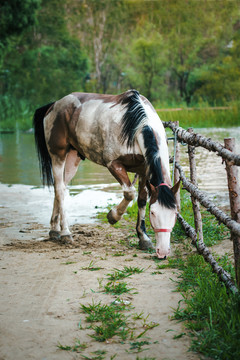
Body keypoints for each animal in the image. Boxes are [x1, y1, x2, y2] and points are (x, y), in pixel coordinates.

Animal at [33, 90, 180, 258]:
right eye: (153, 213)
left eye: (175, 213)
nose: (163, 251)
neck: (136, 126)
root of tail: (54, 105)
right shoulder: (113, 164)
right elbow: (129, 193)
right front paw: (113, 216)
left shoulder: (144, 170)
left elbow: (142, 199)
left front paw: (143, 238)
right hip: (58, 155)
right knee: (59, 188)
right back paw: (65, 233)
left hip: (72, 158)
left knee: (61, 189)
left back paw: (54, 230)